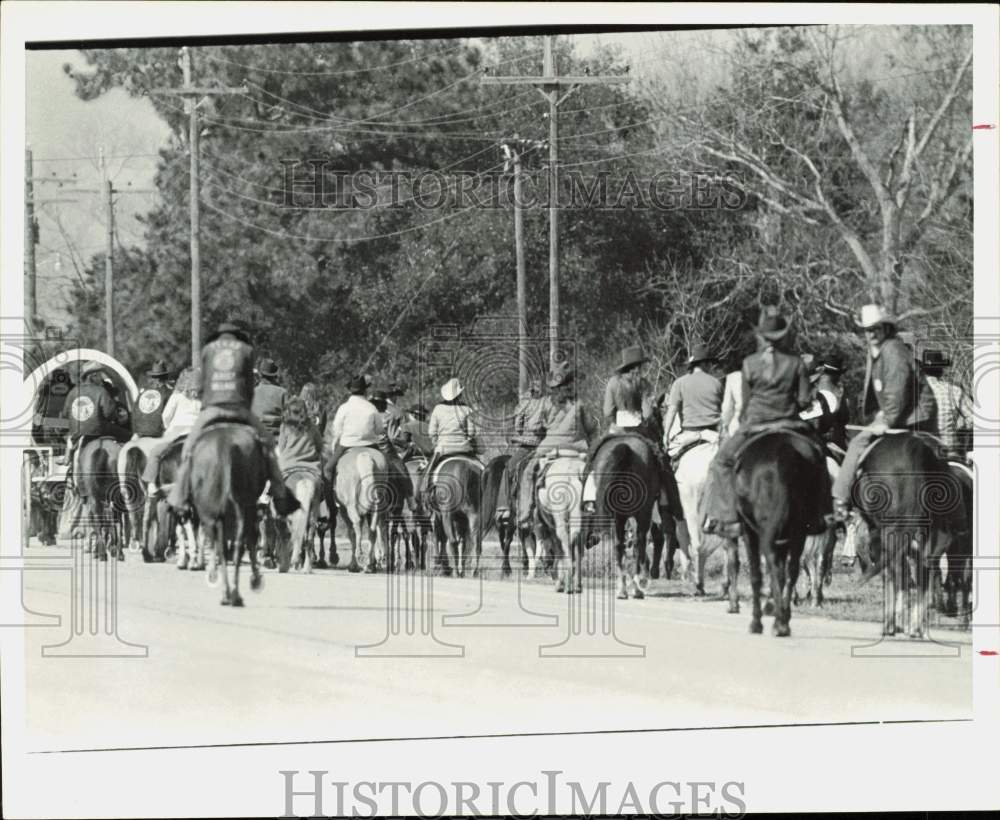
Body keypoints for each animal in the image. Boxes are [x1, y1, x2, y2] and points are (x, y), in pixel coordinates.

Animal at [76, 436, 125, 564]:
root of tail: (101, 449)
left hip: (97, 499)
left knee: (101, 522)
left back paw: (103, 553)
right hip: (113, 498)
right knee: (114, 522)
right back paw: (116, 553)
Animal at [189, 422, 268, 608]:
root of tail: (226, 447)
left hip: (216, 512)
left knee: (226, 545)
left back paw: (229, 592)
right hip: (240, 508)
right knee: (238, 544)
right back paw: (235, 594)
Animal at [736, 432, 828, 636]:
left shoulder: (749, 531)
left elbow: (756, 574)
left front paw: (756, 621)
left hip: (767, 531)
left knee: (774, 566)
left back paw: (777, 622)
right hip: (798, 532)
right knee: (791, 570)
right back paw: (784, 619)